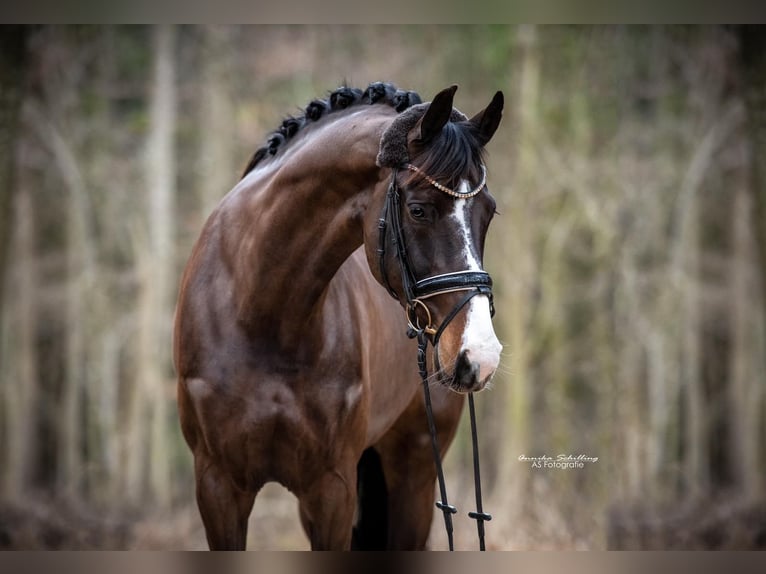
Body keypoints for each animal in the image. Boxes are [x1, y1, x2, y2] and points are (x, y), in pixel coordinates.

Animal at [173, 82, 504, 550]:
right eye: (419, 209)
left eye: (489, 211)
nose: (480, 356)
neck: (263, 317)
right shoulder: (218, 486)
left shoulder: (332, 489)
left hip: (415, 472)